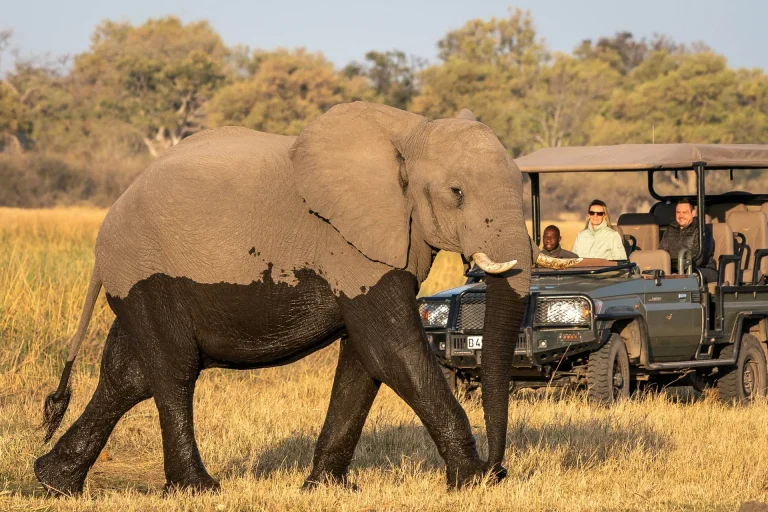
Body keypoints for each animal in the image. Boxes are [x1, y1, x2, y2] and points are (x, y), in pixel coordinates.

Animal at [35, 101, 577, 495]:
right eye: (457, 192)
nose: (499, 468)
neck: (409, 131)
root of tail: (112, 216)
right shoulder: (348, 244)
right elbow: (393, 350)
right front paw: (470, 482)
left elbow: (365, 361)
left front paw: (327, 489)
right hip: (146, 270)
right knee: (173, 370)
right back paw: (198, 489)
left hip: (139, 280)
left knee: (128, 374)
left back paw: (55, 483)